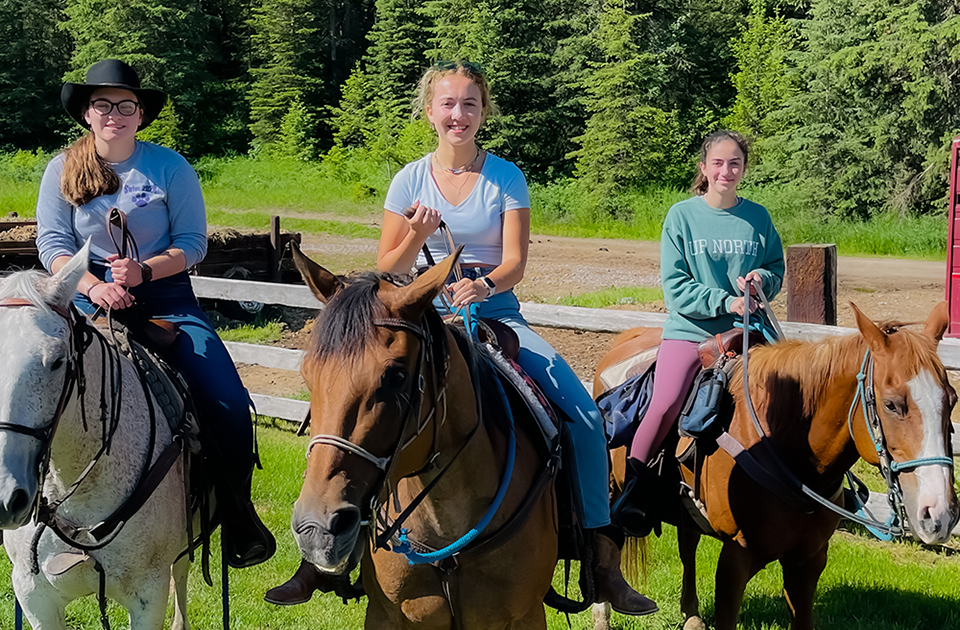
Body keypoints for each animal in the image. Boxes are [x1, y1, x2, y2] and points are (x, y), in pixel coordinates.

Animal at [592, 304, 960, 630]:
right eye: (892, 404)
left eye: (952, 399)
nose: (939, 514)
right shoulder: (736, 558)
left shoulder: (809, 561)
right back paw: (602, 614)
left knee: (687, 544)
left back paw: (692, 616)